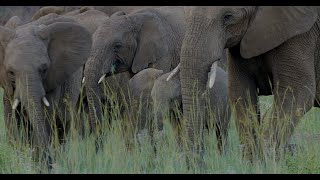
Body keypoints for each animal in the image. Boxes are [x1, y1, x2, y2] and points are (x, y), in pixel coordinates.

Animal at [0, 14, 92, 169]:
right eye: (11, 72)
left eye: (43, 69)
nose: (49, 163)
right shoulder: (7, 86)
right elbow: (11, 119)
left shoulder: (53, 79)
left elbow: (46, 118)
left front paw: (41, 164)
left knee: (62, 126)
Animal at [176, 5, 320, 160]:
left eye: (228, 16)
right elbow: (240, 93)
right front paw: (255, 162)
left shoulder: (300, 33)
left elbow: (297, 93)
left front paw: (267, 160)